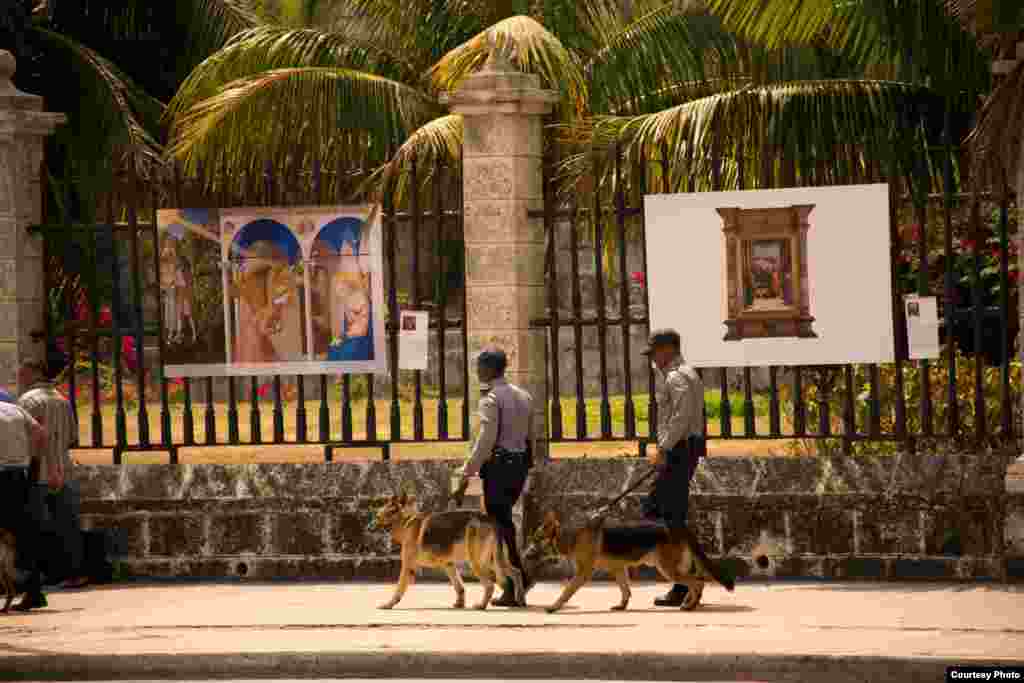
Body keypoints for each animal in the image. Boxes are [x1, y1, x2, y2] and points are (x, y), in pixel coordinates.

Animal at [370, 493, 524, 610]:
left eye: (378, 516)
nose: (369, 527)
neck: (407, 521)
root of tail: (490, 520)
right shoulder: (449, 565)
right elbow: (459, 587)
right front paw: (459, 604)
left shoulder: (407, 567)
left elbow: (398, 589)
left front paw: (389, 604)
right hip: (495, 561)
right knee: (516, 573)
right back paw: (520, 600)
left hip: (477, 564)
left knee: (490, 585)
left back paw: (481, 605)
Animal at [528, 507, 737, 614]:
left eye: (536, 540)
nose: (526, 555)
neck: (571, 534)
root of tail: (678, 526)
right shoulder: (618, 569)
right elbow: (625, 590)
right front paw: (622, 606)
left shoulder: (583, 573)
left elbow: (566, 591)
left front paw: (554, 606)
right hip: (673, 569)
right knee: (695, 582)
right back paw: (689, 602)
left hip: (668, 570)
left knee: (698, 582)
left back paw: (690, 606)